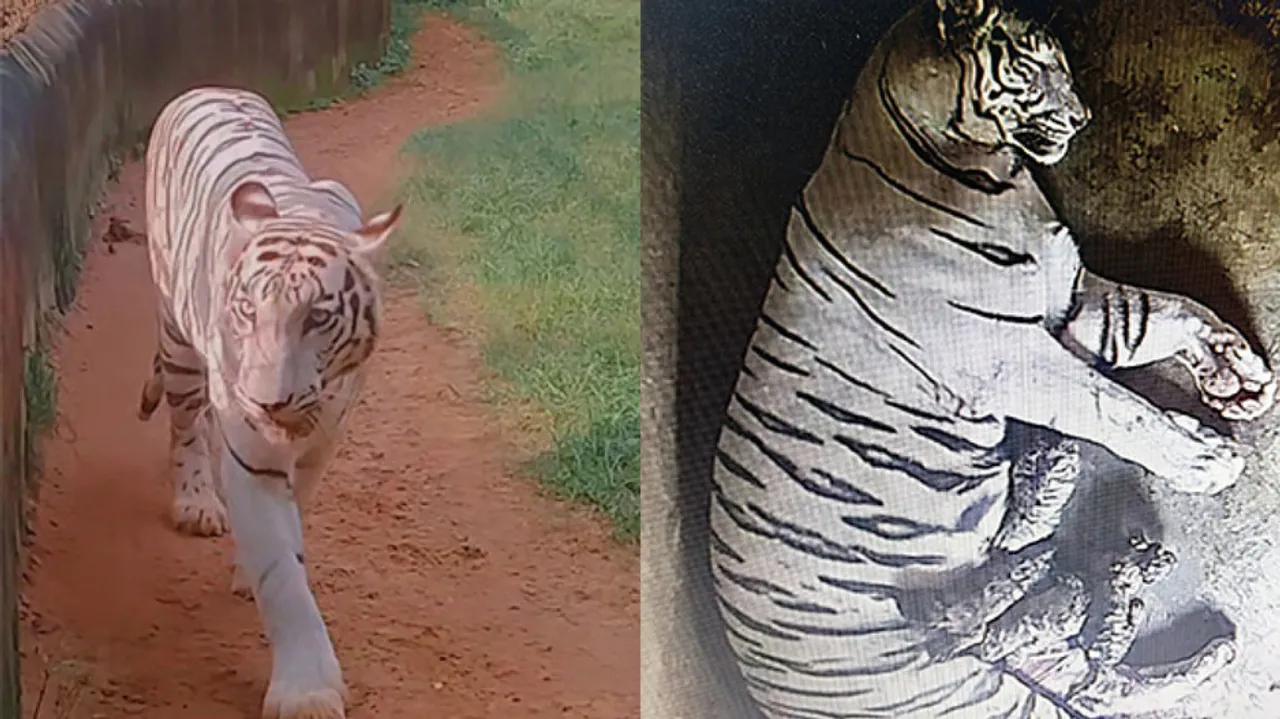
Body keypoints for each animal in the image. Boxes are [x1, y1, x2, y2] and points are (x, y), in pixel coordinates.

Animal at [138, 86, 402, 719]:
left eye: (318, 318)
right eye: (247, 310)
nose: (266, 402)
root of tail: (207, 87)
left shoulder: (324, 441)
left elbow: (295, 519)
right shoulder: (251, 453)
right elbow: (281, 571)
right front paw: (306, 691)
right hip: (176, 339)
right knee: (186, 427)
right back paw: (195, 501)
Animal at [708, 1, 1277, 717]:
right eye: (1033, 64)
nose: (1083, 117)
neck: (992, 173)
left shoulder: (1068, 300)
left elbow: (1165, 311)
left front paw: (1241, 376)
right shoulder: (1011, 357)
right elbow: (1118, 407)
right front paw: (1205, 459)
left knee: (1092, 673)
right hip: (945, 684)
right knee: (1018, 644)